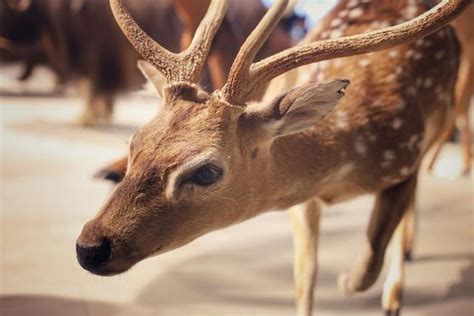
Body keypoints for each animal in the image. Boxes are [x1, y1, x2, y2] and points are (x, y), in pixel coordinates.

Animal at [76, 0, 468, 316]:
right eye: (134, 143)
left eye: (207, 172)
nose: (89, 247)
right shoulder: (304, 200)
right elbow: (304, 275)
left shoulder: (404, 160)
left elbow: (368, 264)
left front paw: (347, 281)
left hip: (440, 120)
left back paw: (397, 288)